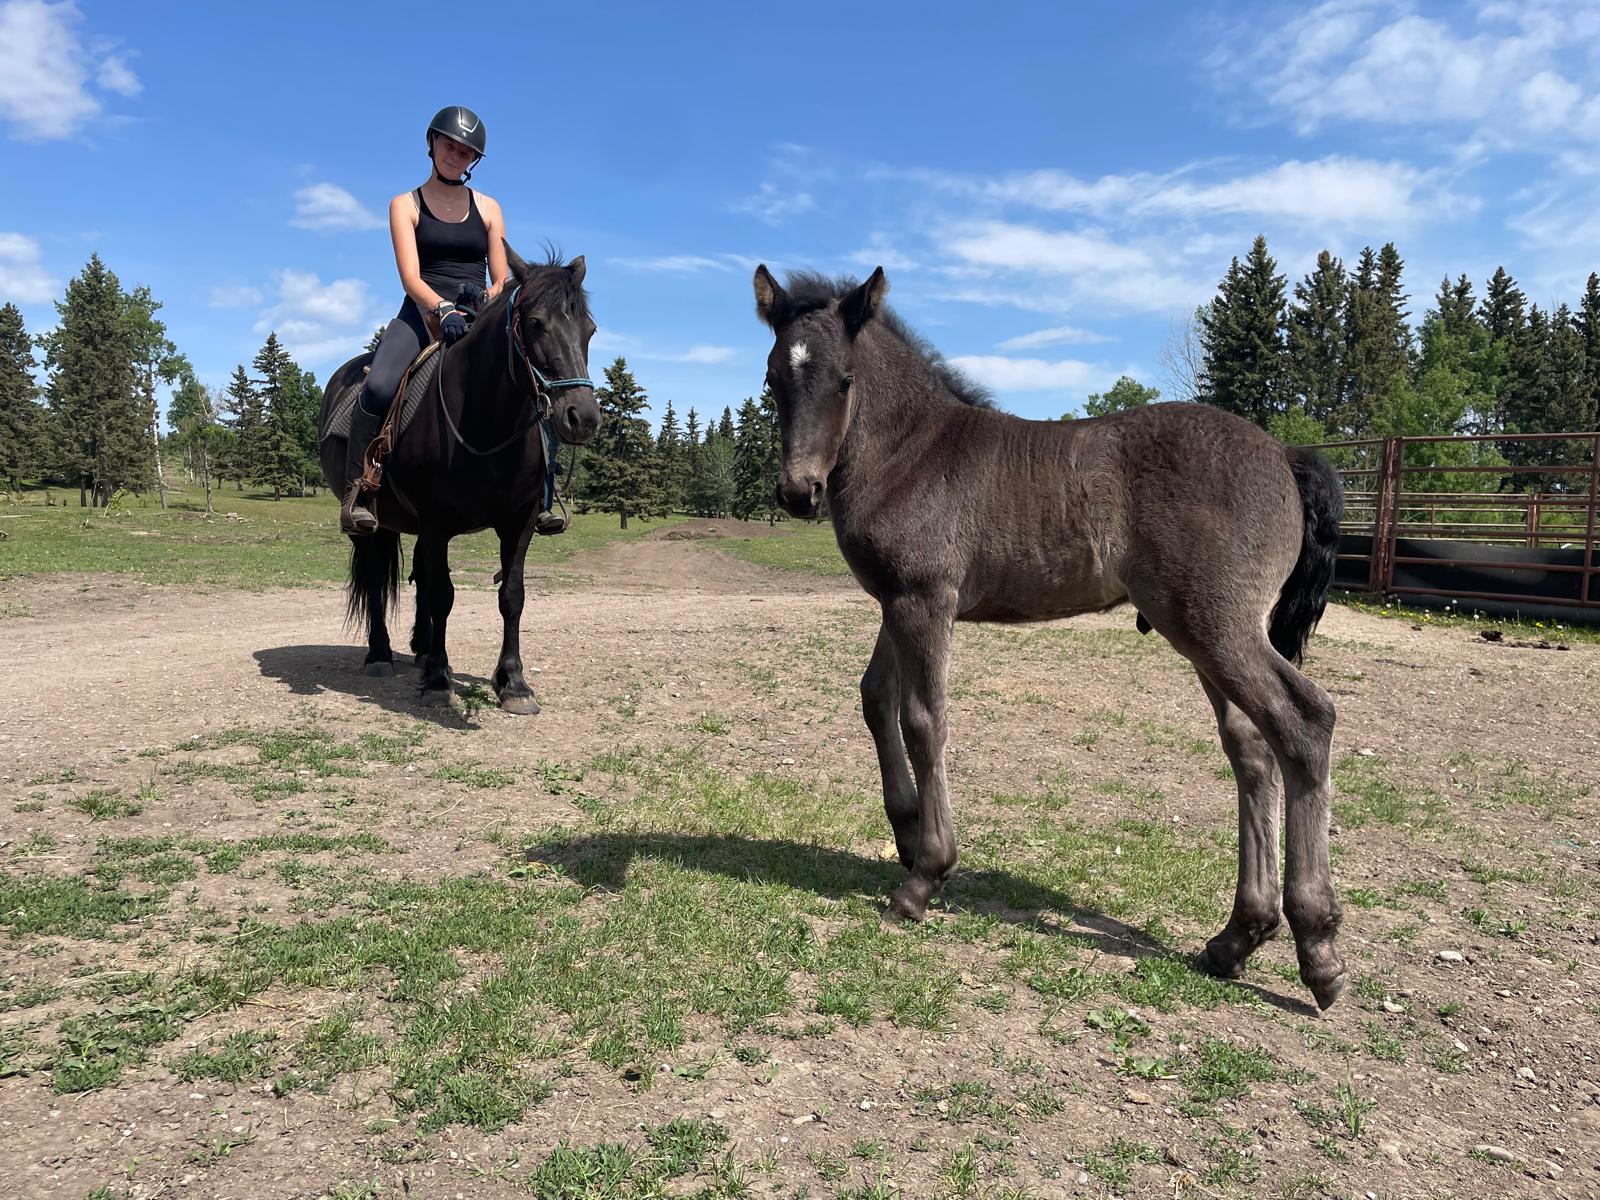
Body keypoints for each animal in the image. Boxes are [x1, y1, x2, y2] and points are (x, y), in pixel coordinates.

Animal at [319, 246, 602, 713]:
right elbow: (442, 595)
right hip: (369, 524)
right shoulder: (436, 523)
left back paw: (421, 648)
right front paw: (437, 679)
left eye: (589, 330)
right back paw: (381, 655)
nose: (583, 417)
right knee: (377, 580)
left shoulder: (519, 523)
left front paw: (513, 682)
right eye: (535, 322)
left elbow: (511, 596)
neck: (485, 426)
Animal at [752, 265, 1349, 1010]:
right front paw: (908, 831)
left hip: (1217, 626)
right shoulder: (896, 601)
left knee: (1304, 722)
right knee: (1252, 750)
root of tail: (1284, 451)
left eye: (844, 379)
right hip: (1208, 633)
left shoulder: (926, 601)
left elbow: (924, 719)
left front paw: (926, 876)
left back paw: (1318, 948)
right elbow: (874, 700)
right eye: (773, 376)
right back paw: (1237, 937)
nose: (798, 491)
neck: (910, 451)